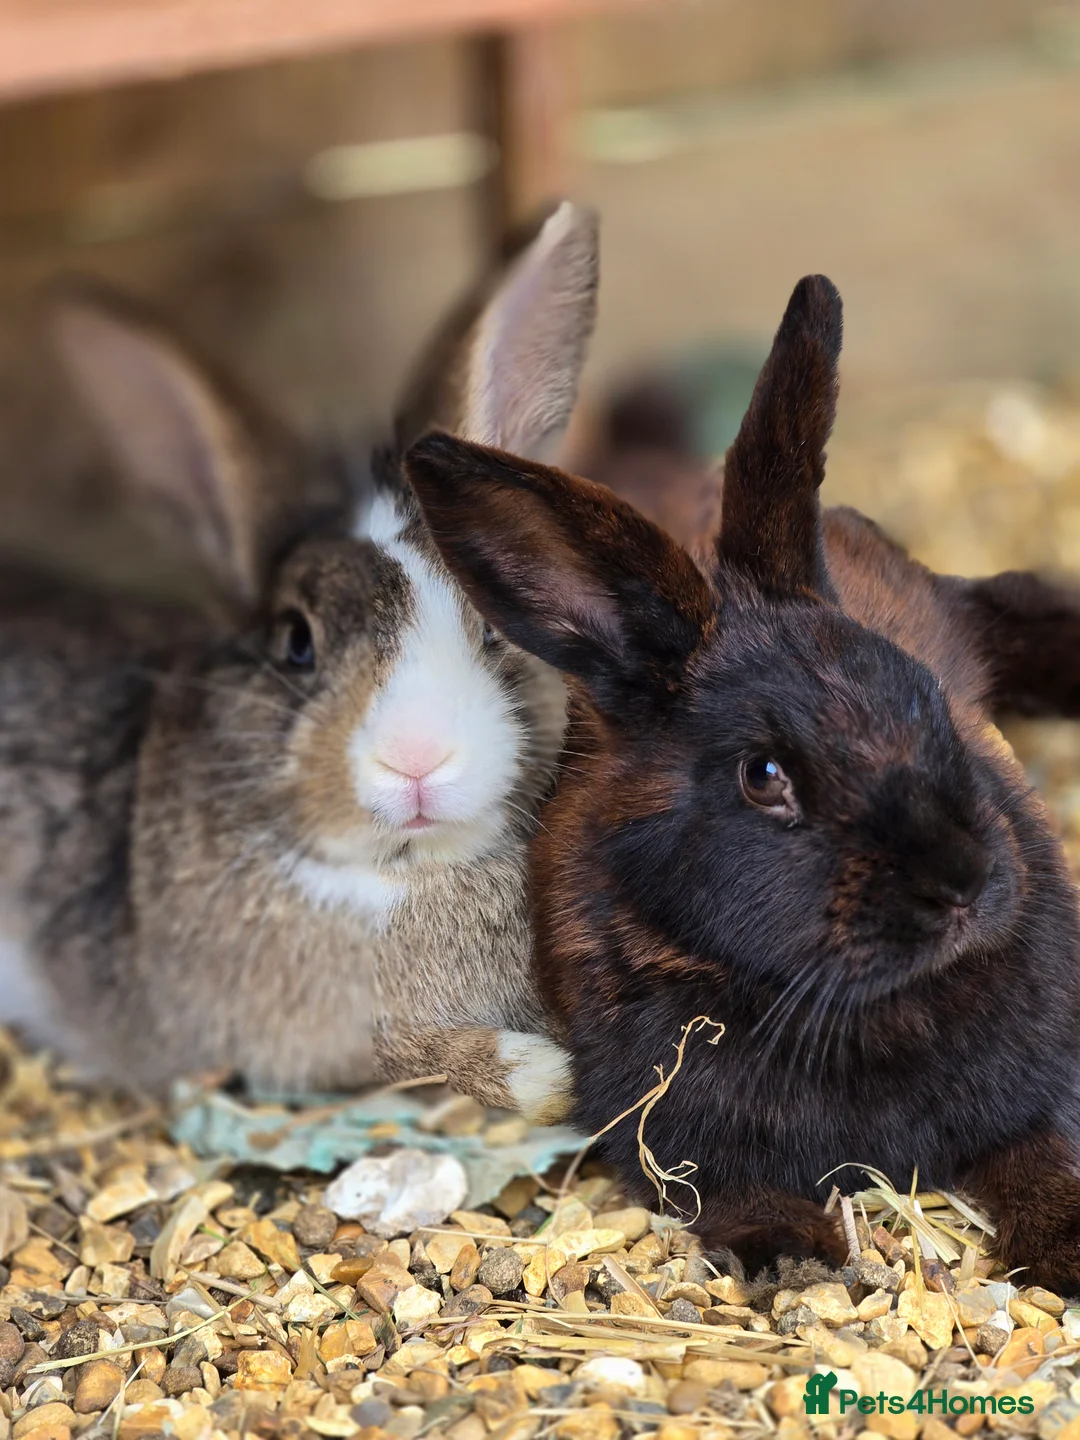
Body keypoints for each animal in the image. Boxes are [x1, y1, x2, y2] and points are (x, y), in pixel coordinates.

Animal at [0, 201, 600, 1122]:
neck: (398, 878)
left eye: (493, 626)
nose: (418, 759)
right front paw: (534, 1073)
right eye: (295, 641)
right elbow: (397, 1051)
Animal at [403, 273, 1080, 1287]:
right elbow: (728, 1190)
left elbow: (1043, 1155)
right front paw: (791, 1251)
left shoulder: (1039, 1093)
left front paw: (1069, 1246)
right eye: (764, 776)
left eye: (929, 697)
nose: (961, 886)